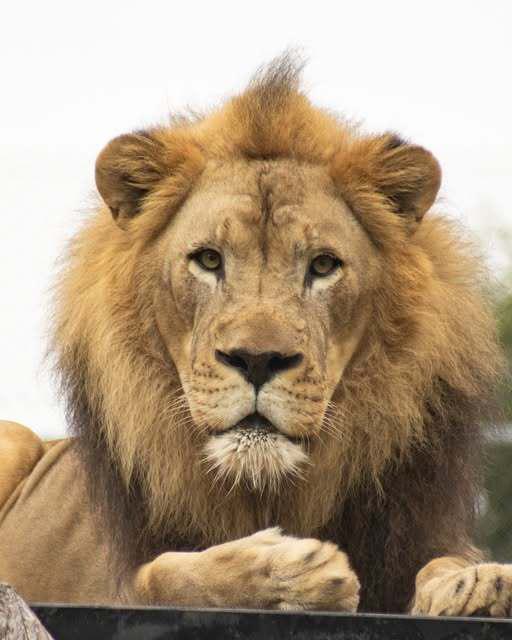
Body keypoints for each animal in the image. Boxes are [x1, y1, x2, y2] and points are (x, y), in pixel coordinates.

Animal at [0, 57, 509, 615]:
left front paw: (477, 583)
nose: (258, 359)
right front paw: (281, 570)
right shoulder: (101, 586)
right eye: (208, 259)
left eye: (323, 265)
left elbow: (445, 560)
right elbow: (156, 578)